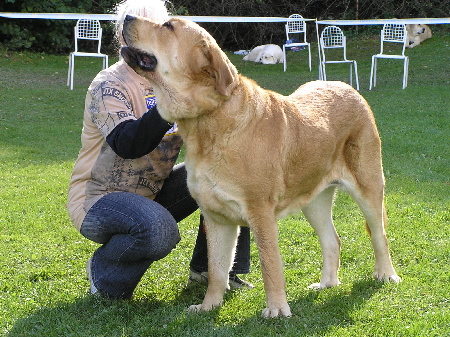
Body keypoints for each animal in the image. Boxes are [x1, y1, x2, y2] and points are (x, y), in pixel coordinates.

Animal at [120, 14, 400, 316]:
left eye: (168, 26)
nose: (127, 17)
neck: (208, 122)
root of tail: (347, 87)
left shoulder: (260, 213)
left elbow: (270, 264)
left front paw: (276, 310)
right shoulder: (217, 218)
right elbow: (216, 268)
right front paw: (209, 305)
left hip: (368, 187)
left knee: (380, 234)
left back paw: (386, 274)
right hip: (314, 200)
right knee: (332, 239)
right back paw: (327, 283)